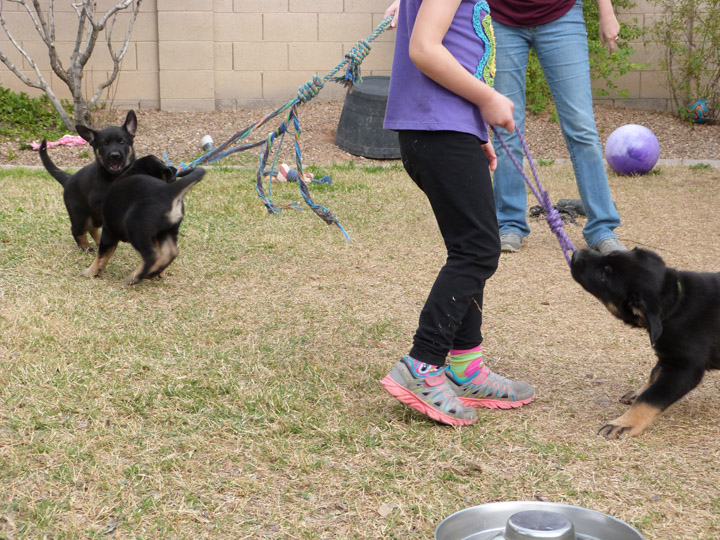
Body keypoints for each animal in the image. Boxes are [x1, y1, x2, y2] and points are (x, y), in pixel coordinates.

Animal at [40, 110, 138, 253]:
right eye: (105, 143)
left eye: (122, 142)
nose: (114, 155)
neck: (114, 176)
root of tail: (68, 178)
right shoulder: (97, 202)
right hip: (80, 215)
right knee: (76, 230)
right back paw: (85, 246)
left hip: (94, 217)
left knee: (92, 228)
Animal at [572, 249, 720, 438]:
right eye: (611, 253)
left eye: (603, 276)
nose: (576, 254)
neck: (676, 303)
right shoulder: (667, 356)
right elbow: (654, 374)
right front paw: (638, 392)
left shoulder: (684, 368)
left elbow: (651, 398)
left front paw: (624, 423)